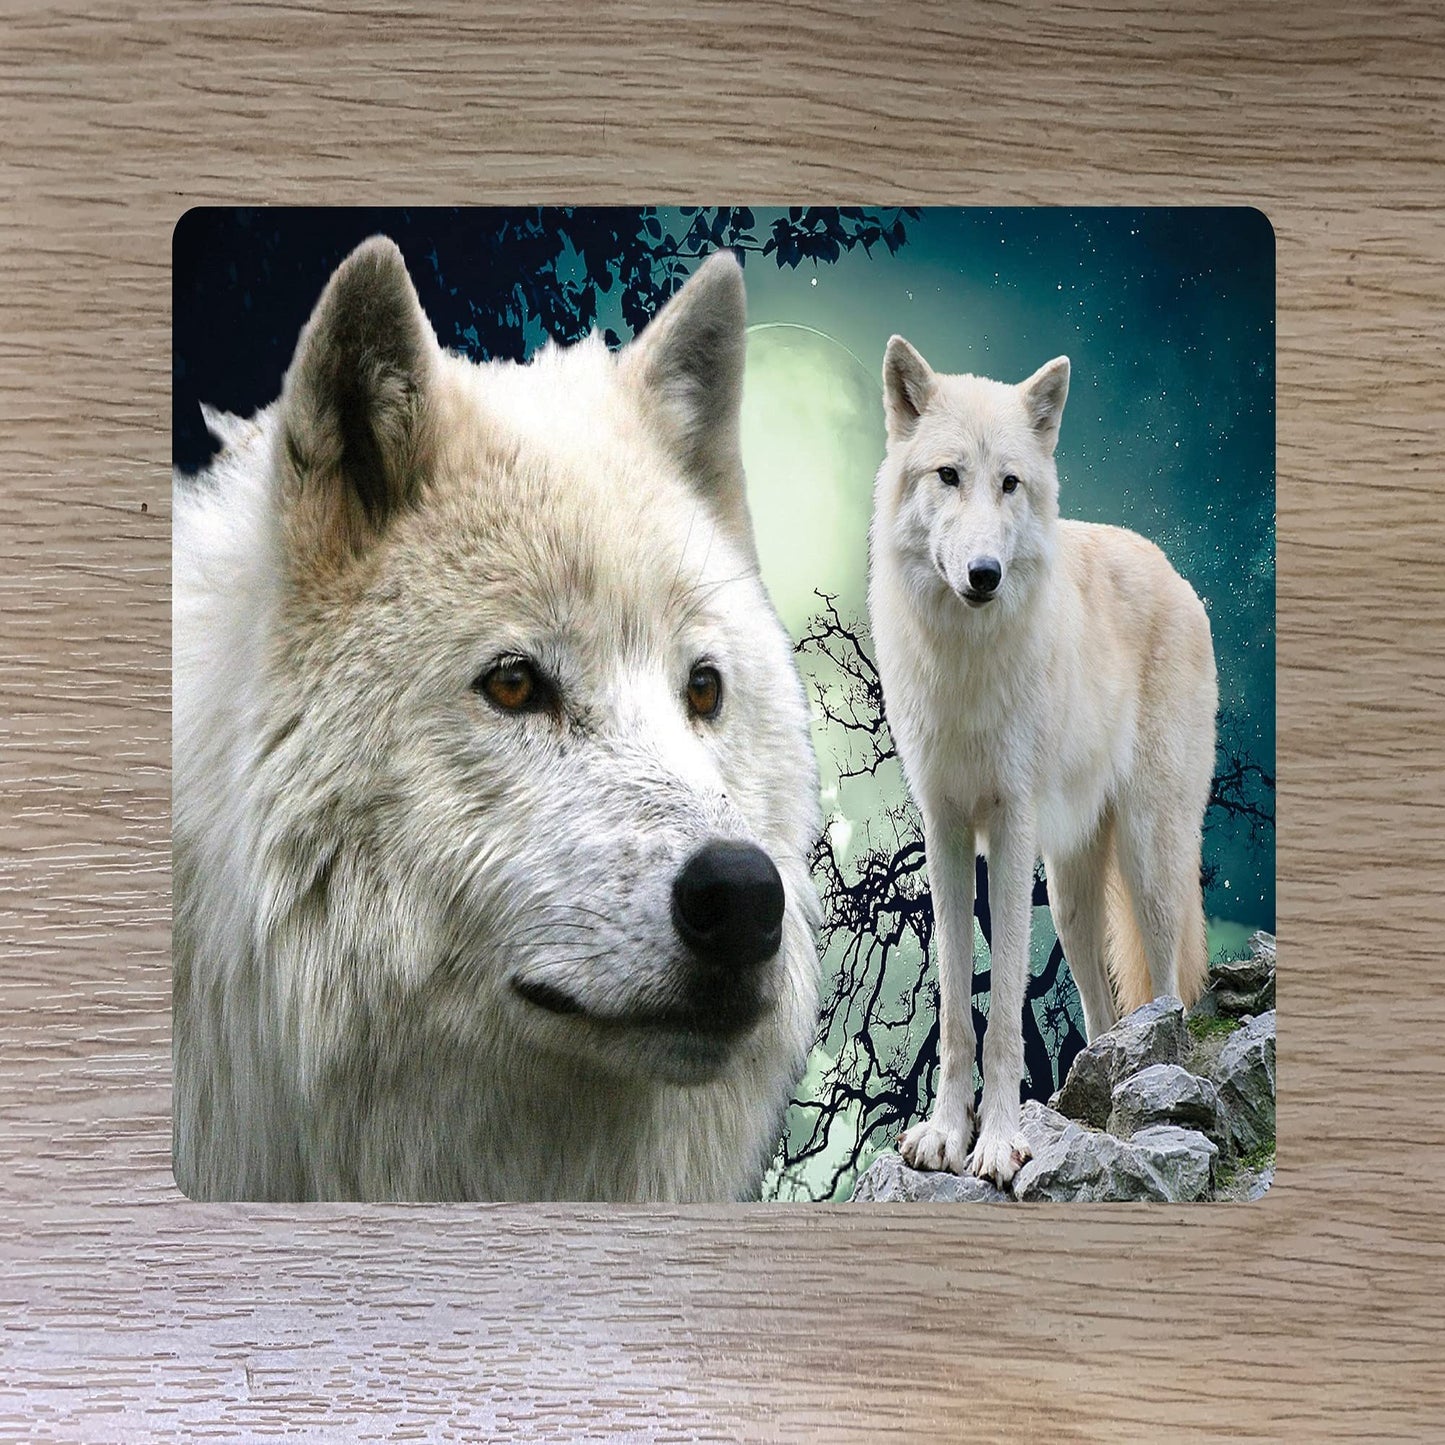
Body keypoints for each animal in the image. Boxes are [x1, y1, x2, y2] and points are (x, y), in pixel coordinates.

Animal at [867, 337, 1217, 1186]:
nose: (983, 574)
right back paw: (1081, 1093)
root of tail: (1174, 574)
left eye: (1009, 483)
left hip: (1148, 859)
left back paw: (1157, 1084)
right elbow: (956, 1009)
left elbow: (999, 1020)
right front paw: (943, 1136)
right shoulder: (945, 829)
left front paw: (996, 1143)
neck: (962, 663)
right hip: (1066, 892)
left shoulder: (1010, 824)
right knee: (1100, 1007)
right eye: (948, 475)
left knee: (1165, 989)